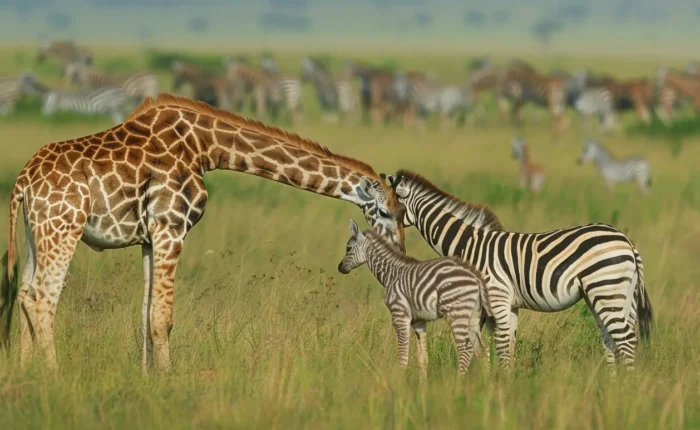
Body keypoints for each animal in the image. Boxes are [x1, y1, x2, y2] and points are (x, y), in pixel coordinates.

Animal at [0, 93, 405, 373]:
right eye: (389, 212)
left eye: (406, 215)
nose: (401, 248)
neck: (205, 147)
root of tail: (23, 180)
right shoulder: (171, 227)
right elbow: (163, 317)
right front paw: (167, 382)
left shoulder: (149, 238)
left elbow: (145, 314)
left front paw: (146, 379)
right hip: (63, 228)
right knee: (42, 300)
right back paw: (53, 375)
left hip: (36, 232)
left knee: (24, 294)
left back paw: (27, 374)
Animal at [337, 219, 488, 377]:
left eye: (348, 248)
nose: (339, 267)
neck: (391, 274)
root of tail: (475, 277)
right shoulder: (418, 321)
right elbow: (422, 358)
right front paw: (423, 383)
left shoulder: (400, 315)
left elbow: (403, 357)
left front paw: (397, 380)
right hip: (472, 316)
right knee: (482, 350)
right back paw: (487, 380)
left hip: (456, 313)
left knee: (467, 348)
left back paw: (457, 380)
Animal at [381, 171, 653, 372]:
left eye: (386, 210)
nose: (394, 245)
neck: (470, 244)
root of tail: (626, 241)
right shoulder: (507, 306)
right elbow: (507, 348)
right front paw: (506, 386)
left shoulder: (497, 299)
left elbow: (500, 348)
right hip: (614, 295)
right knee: (613, 339)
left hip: (607, 288)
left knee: (625, 340)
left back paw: (624, 390)